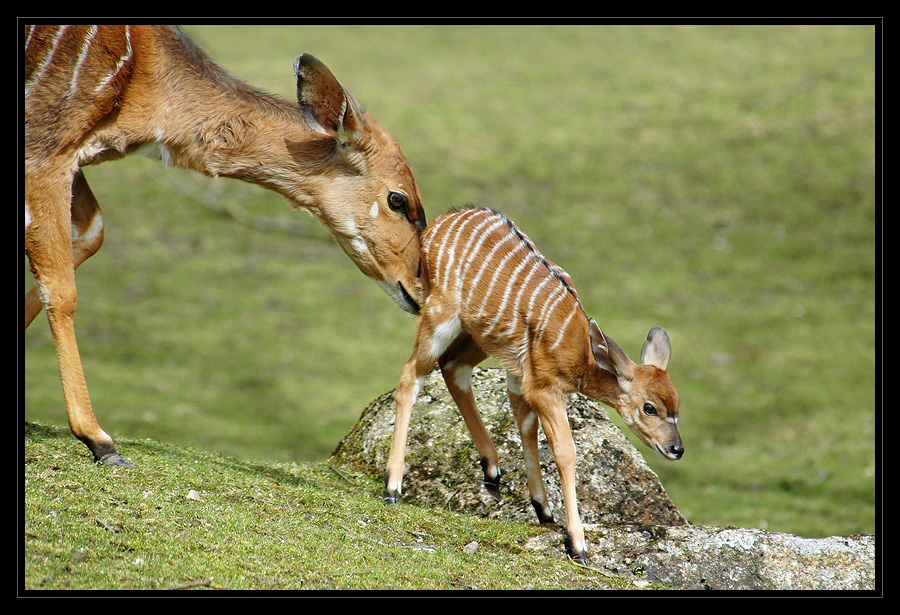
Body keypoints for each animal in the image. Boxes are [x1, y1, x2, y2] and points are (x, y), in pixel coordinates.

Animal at [22, 24, 428, 466]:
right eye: (398, 199)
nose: (419, 290)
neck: (145, 76)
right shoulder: (45, 150)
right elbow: (62, 289)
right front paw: (100, 441)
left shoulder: (69, 161)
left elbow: (90, 232)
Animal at [382, 208, 684, 568]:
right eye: (649, 407)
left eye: (678, 405)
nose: (677, 449)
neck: (580, 348)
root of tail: (436, 226)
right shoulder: (544, 387)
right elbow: (565, 451)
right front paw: (577, 545)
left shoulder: (520, 375)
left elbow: (526, 427)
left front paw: (544, 509)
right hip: (440, 316)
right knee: (411, 376)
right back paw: (393, 486)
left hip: (480, 334)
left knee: (453, 367)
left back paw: (491, 471)